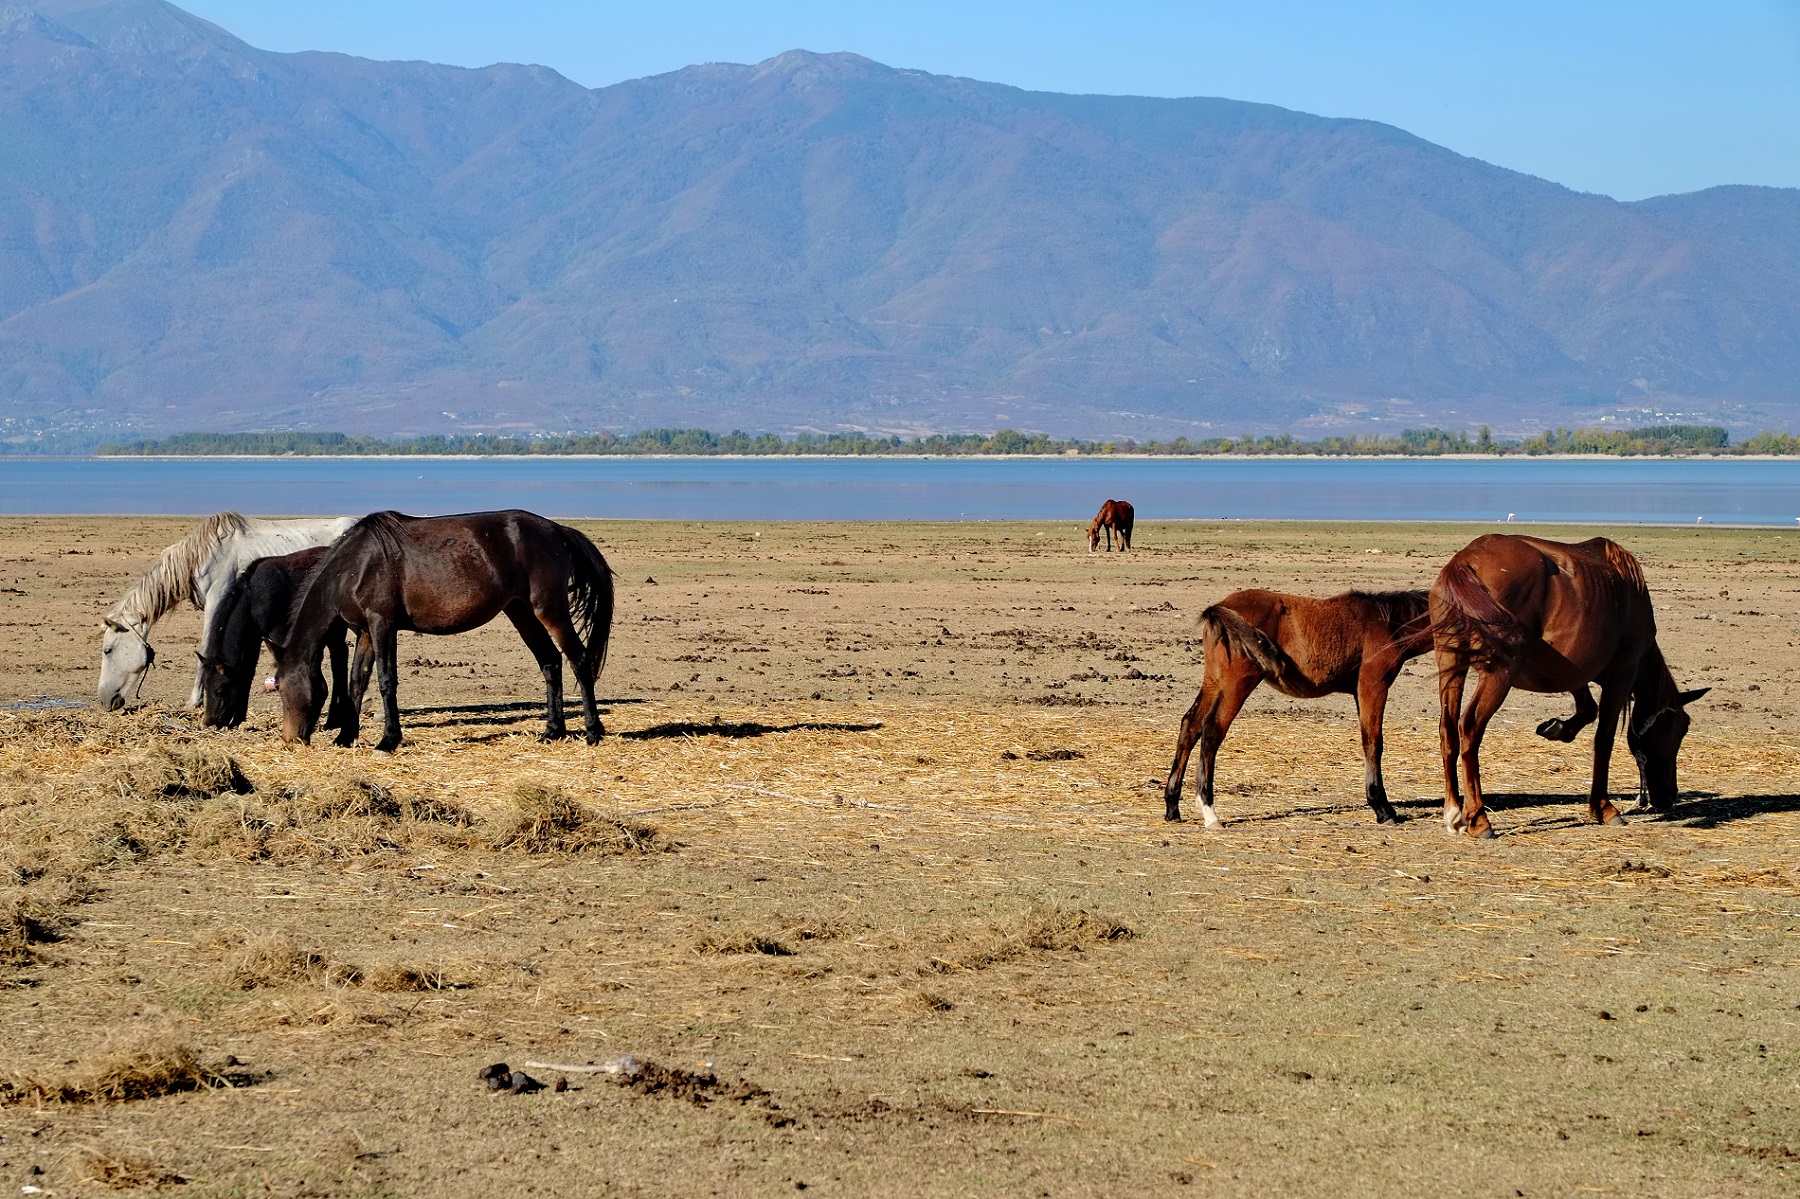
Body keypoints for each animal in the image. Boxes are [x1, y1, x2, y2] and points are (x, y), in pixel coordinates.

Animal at [97, 511, 358, 709]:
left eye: (108, 650)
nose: (104, 700)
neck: (203, 555)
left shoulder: (217, 603)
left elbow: (205, 649)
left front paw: (194, 701)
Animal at [271, 507, 612, 752]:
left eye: (283, 687)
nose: (290, 740)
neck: (355, 566)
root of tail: (558, 530)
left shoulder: (383, 626)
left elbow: (385, 681)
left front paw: (388, 739)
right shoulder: (365, 632)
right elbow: (357, 681)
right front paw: (345, 736)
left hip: (550, 610)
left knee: (579, 659)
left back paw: (593, 731)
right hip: (521, 612)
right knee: (550, 661)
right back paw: (553, 732)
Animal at [1166, 586, 1432, 828]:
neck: (1388, 621)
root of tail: (1219, 608)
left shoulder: (1360, 693)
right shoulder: (1373, 686)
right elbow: (1373, 742)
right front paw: (1383, 808)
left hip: (1214, 681)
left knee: (1190, 725)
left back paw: (1172, 807)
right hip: (1236, 685)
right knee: (1212, 731)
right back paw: (1210, 813)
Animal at [1425, 536, 1706, 835]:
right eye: (1681, 728)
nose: (1670, 795)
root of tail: (1465, 561)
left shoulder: (1574, 672)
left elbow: (1588, 709)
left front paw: (1557, 728)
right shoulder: (1621, 676)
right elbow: (1603, 739)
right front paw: (1604, 808)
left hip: (1451, 664)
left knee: (1448, 730)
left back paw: (1454, 812)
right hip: (1498, 674)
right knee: (1469, 728)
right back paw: (1478, 818)